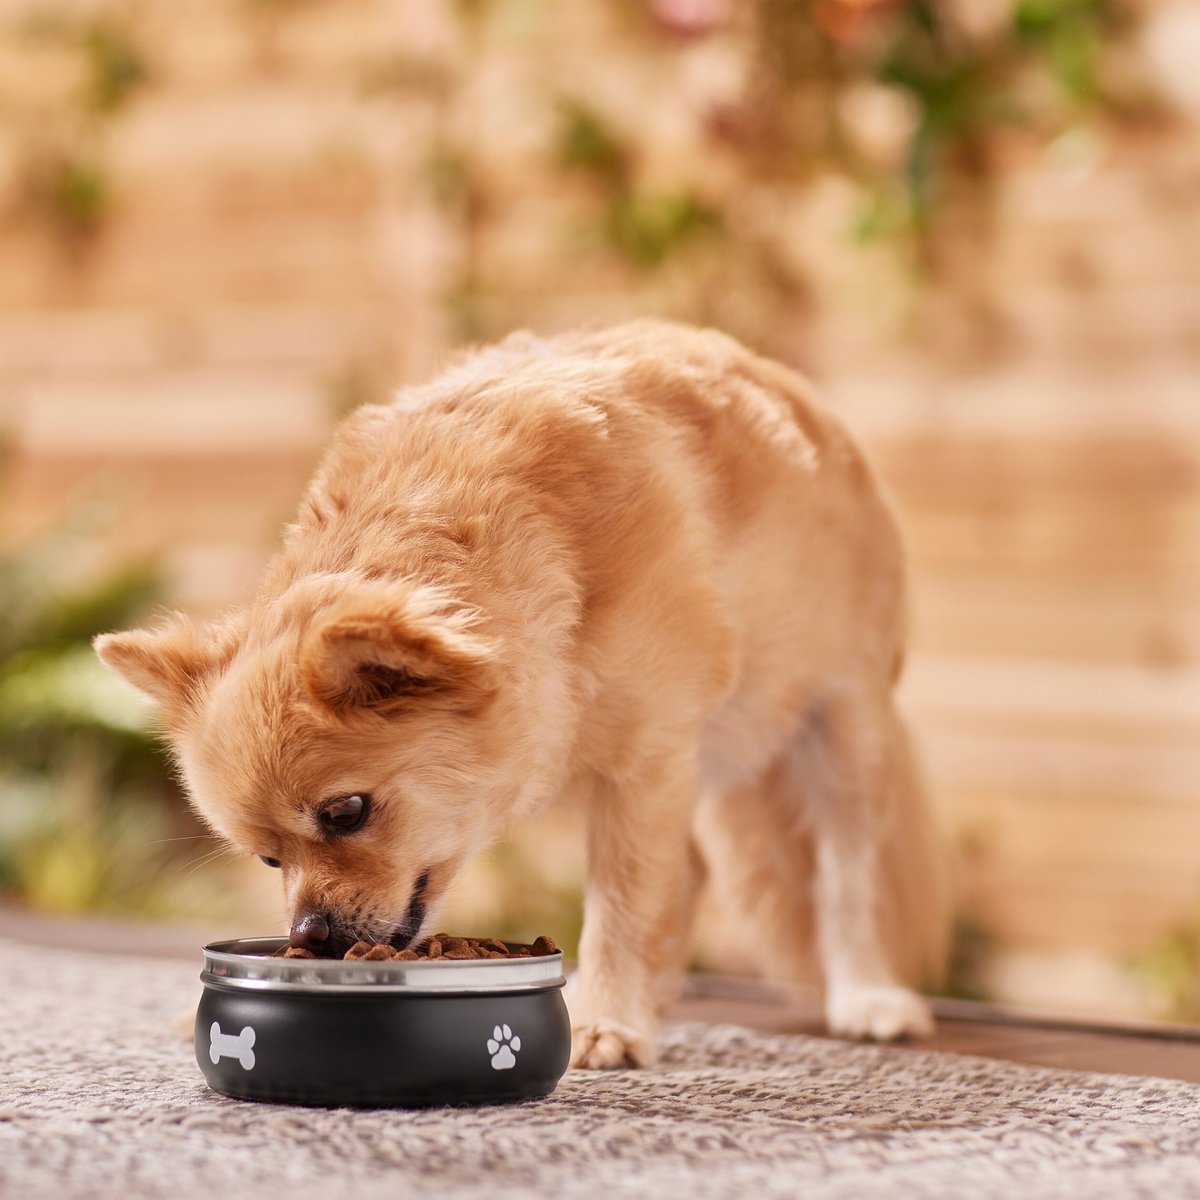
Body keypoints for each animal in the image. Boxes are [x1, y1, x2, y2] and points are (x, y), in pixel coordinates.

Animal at [96, 321, 945, 1070]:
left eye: (346, 813)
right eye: (269, 859)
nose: (311, 937)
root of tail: (809, 407)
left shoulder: (645, 765)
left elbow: (624, 904)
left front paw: (606, 1021)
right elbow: (648, 895)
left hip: (843, 729)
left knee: (847, 874)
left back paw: (868, 995)